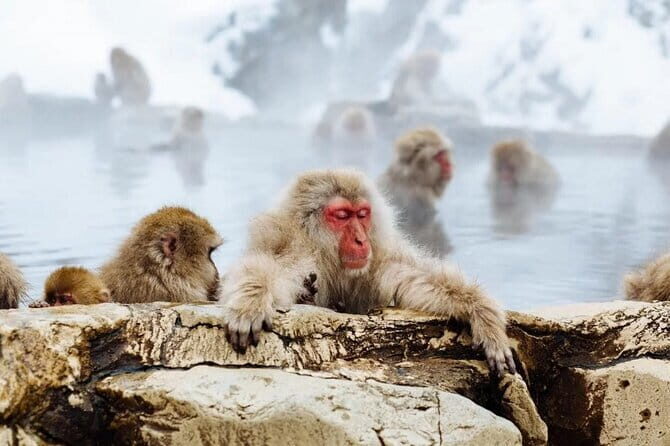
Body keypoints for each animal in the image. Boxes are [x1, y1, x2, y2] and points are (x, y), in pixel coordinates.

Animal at [220, 169, 516, 376]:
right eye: (342, 215)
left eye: (362, 214)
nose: (361, 240)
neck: (327, 255)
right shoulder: (297, 251)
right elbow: (270, 271)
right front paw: (251, 302)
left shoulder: (377, 260)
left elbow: (414, 280)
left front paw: (482, 313)